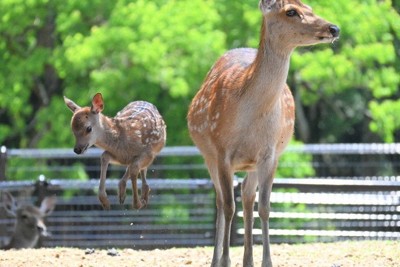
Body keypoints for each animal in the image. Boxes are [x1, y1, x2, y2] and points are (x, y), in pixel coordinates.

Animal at [187, 0, 338, 267]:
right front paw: (225, 260)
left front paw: (267, 261)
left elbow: (265, 207)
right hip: (208, 155)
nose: (334, 28)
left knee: (247, 196)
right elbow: (229, 207)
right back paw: (217, 260)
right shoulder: (222, 152)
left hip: (252, 163)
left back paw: (248, 260)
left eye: (310, 6)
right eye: (291, 11)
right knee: (221, 201)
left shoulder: (270, 154)